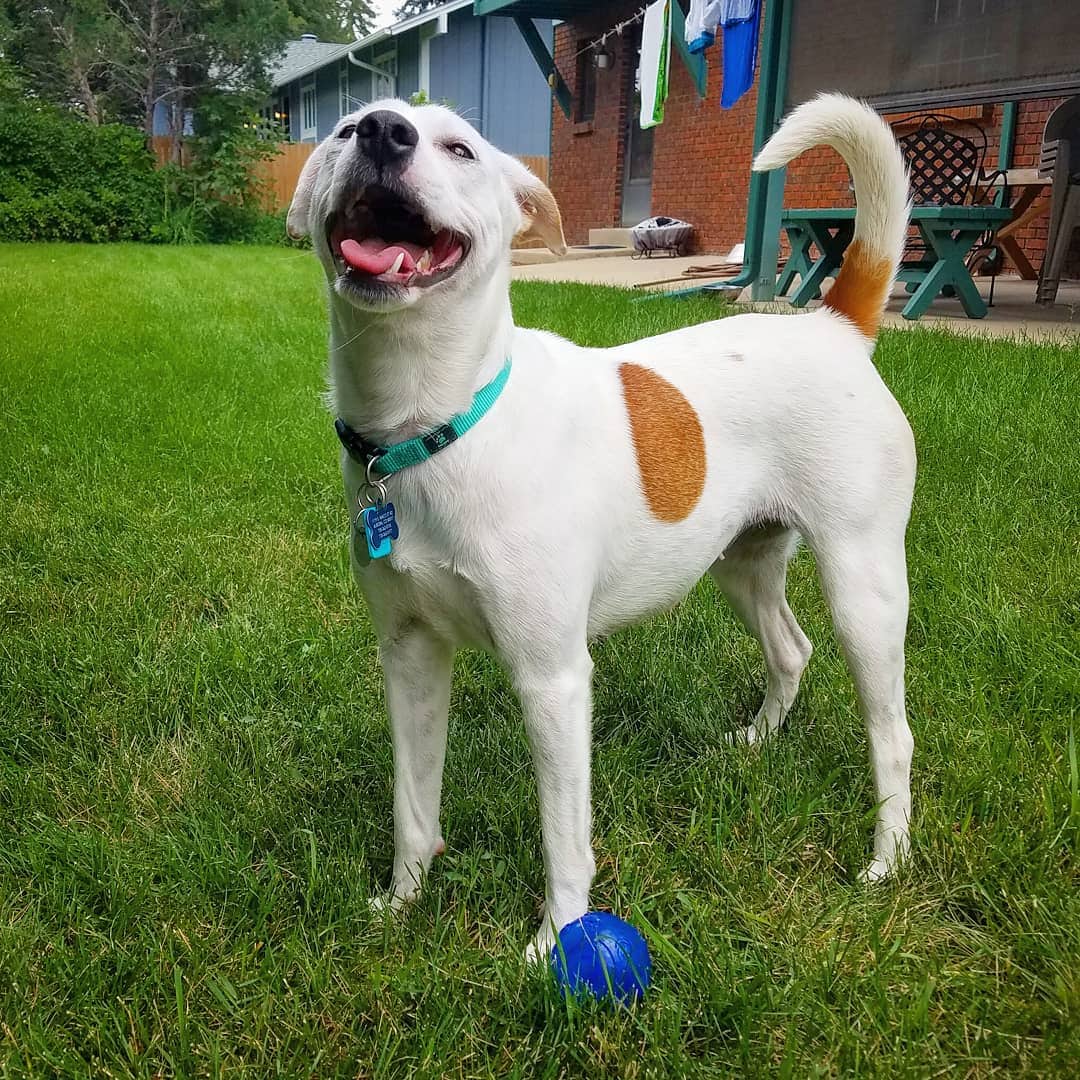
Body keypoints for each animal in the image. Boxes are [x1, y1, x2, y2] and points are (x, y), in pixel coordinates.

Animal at [289, 90, 920, 954]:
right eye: (346, 131)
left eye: (460, 150)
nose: (386, 132)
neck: (435, 426)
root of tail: (836, 325)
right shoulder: (410, 655)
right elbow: (413, 803)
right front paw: (403, 899)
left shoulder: (551, 676)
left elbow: (564, 833)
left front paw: (557, 941)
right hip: (741, 561)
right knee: (791, 649)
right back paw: (756, 743)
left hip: (864, 584)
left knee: (893, 733)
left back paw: (887, 860)